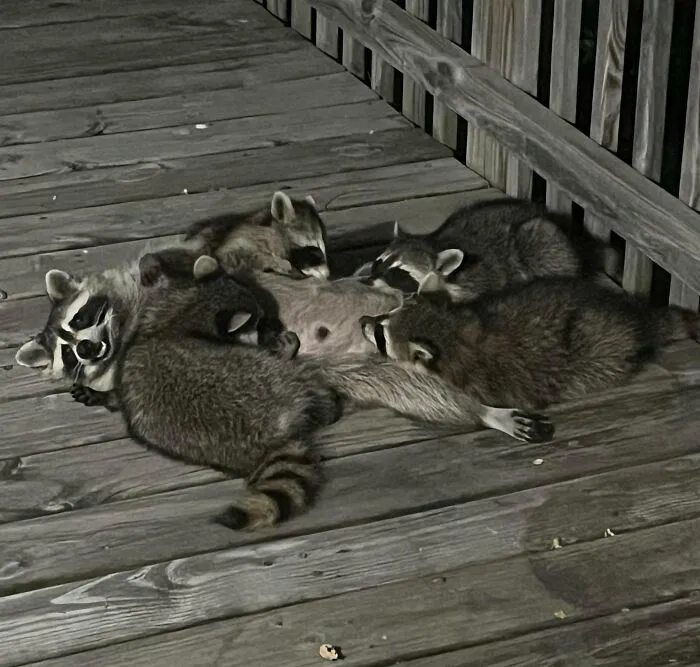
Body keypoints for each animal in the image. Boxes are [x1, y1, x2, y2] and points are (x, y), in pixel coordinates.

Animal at [356, 197, 597, 302]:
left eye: (398, 274)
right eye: (378, 263)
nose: (366, 281)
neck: (437, 244)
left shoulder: (476, 282)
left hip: (544, 243)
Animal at [360, 272, 700, 410]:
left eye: (381, 336)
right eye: (386, 314)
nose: (363, 321)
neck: (453, 331)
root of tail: (633, 315)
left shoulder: (481, 380)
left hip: (602, 352)